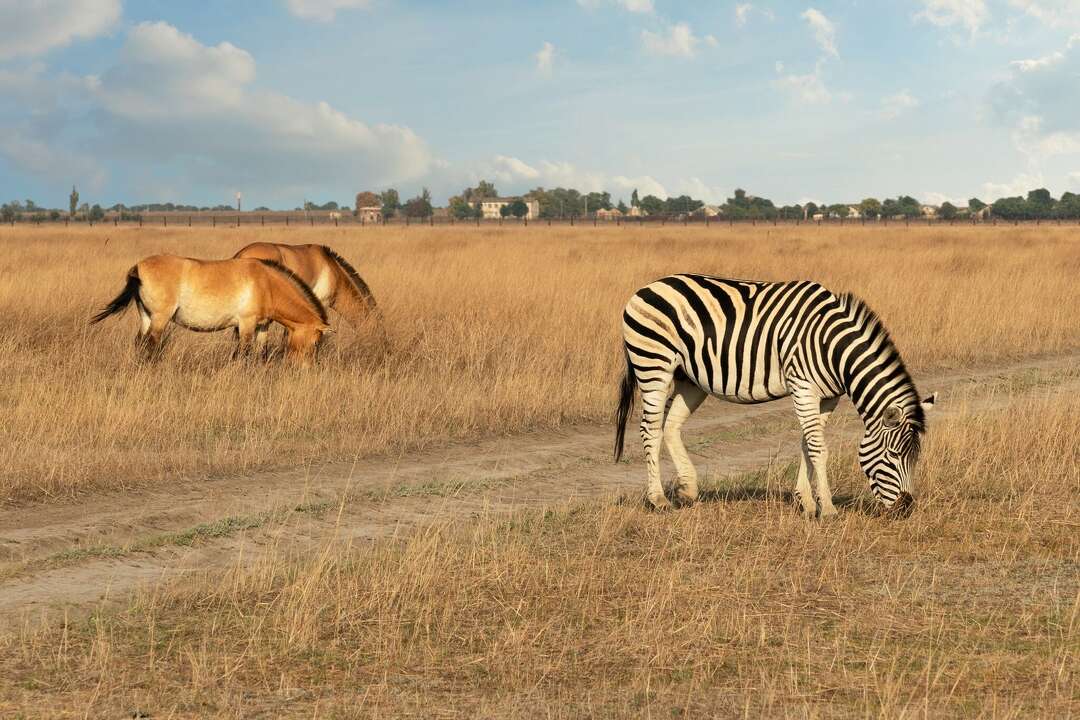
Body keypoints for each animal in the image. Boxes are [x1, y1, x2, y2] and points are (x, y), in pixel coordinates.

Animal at [614, 274, 936, 518]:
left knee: (670, 425)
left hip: (689, 378)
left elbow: (807, 444)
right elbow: (819, 448)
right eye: (893, 455)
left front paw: (805, 501)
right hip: (653, 364)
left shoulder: (827, 397)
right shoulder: (802, 385)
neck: (833, 348)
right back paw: (658, 500)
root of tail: (648, 287)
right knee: (650, 429)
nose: (906, 509)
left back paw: (688, 489)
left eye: (916, 457)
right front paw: (828, 509)